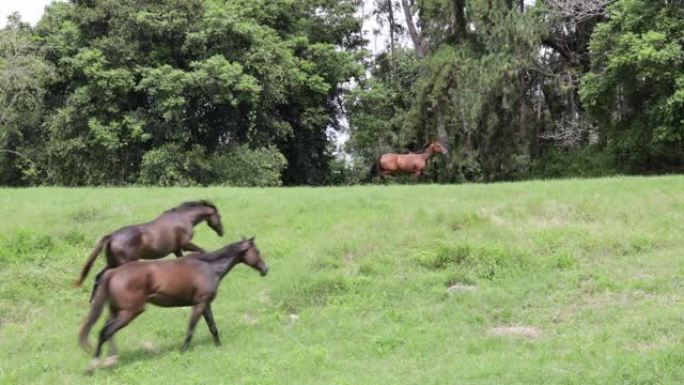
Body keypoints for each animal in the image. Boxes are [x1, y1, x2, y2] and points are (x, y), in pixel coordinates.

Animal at [75, 200, 224, 302]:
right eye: (219, 216)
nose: (222, 232)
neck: (185, 218)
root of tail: (112, 236)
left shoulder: (177, 249)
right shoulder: (185, 244)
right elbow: (203, 251)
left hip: (112, 262)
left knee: (98, 277)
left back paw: (92, 300)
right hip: (124, 263)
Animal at [79, 237, 268, 372]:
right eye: (257, 251)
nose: (266, 269)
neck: (208, 267)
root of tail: (113, 273)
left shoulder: (205, 304)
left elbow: (212, 327)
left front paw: (218, 347)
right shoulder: (200, 304)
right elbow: (191, 329)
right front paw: (183, 352)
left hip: (116, 311)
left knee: (108, 332)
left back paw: (110, 360)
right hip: (130, 312)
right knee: (105, 332)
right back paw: (95, 364)